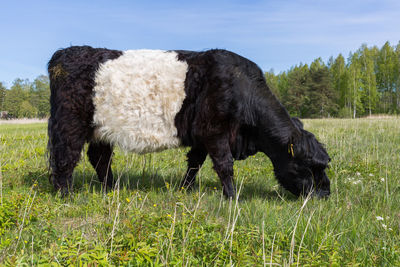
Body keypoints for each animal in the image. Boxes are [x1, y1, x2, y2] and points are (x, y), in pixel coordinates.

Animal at [46, 45, 332, 199]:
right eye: (309, 166)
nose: (326, 193)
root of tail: (65, 54)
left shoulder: (202, 136)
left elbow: (195, 163)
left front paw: (185, 188)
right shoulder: (216, 132)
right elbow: (224, 165)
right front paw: (232, 197)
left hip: (102, 129)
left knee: (99, 158)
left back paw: (110, 188)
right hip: (71, 124)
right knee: (66, 158)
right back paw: (66, 194)